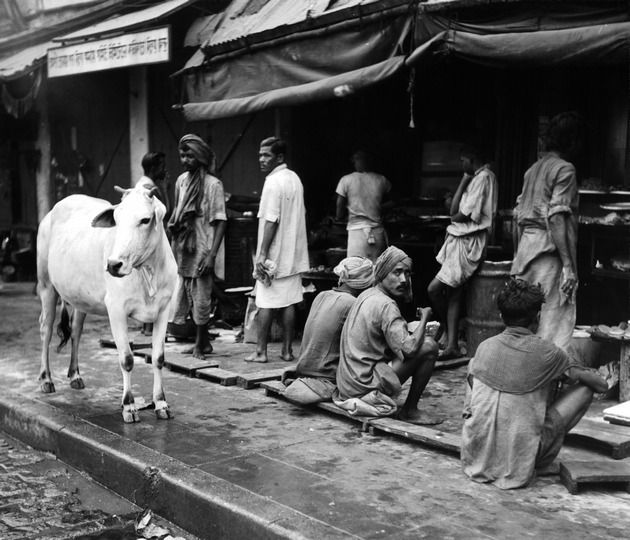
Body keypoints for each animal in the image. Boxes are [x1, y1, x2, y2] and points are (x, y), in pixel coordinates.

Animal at [37, 184, 178, 424]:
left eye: (145, 219)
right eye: (117, 219)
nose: (113, 265)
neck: (148, 272)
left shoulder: (163, 309)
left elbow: (158, 358)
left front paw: (161, 403)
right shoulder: (116, 310)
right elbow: (127, 359)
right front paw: (129, 406)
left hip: (79, 298)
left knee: (76, 331)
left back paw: (75, 375)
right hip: (46, 286)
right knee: (45, 330)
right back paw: (46, 379)